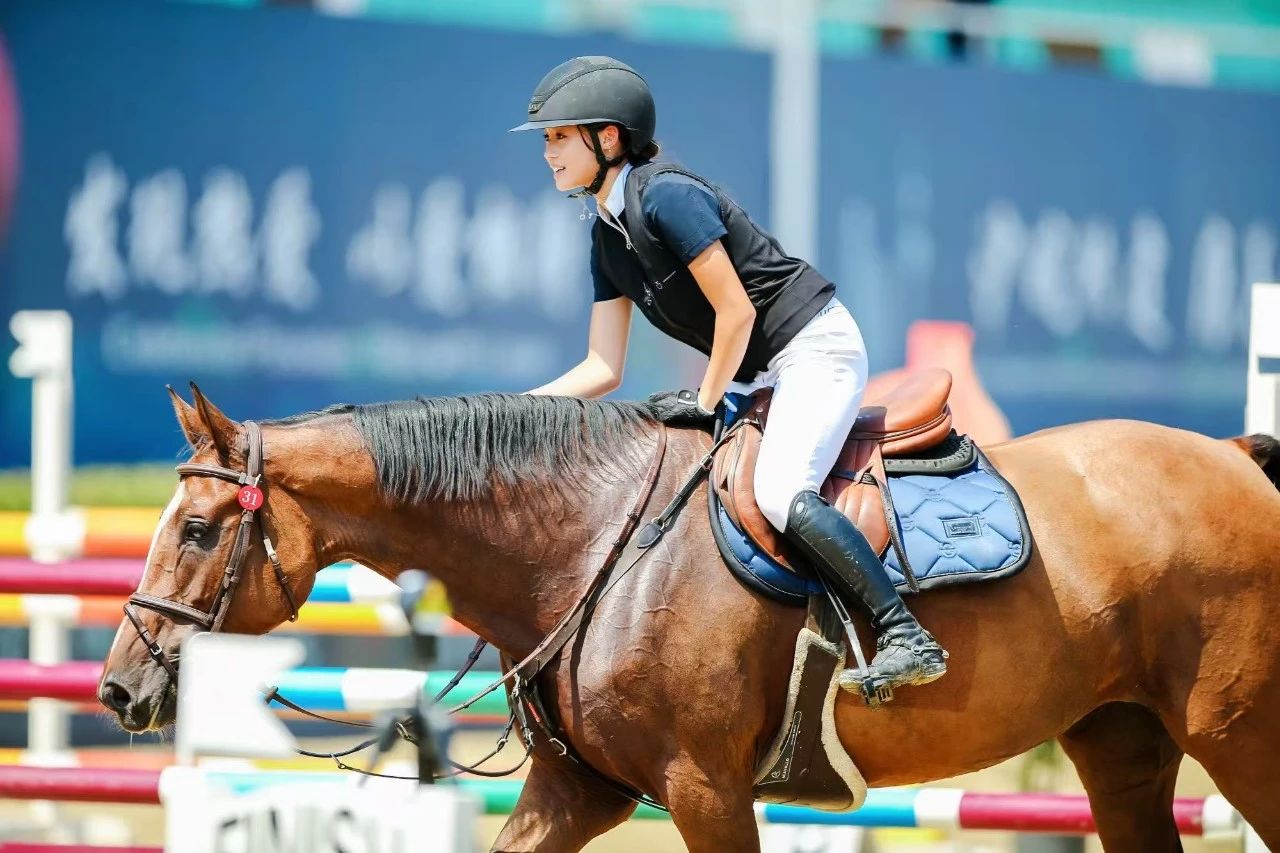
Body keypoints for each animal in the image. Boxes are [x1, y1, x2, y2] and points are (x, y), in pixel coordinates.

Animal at [98, 384, 1280, 852]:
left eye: (196, 528)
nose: (119, 686)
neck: (585, 544)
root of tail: (1233, 458)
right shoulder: (578, 792)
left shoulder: (703, 789)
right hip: (1121, 744)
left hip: (1237, 733)